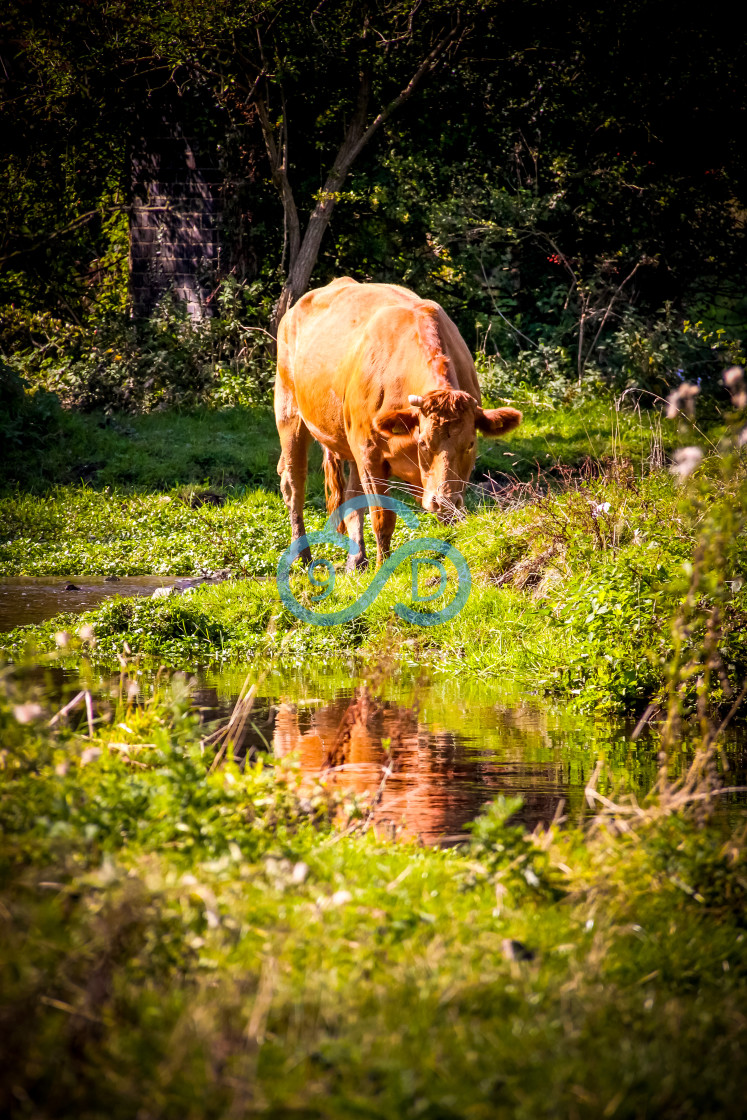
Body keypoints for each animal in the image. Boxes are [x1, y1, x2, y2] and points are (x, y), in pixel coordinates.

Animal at [273, 275, 519, 564]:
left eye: (470, 444)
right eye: (423, 443)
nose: (443, 499)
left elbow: (449, 519)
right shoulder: (370, 453)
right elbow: (383, 517)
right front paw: (384, 566)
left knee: (350, 494)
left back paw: (356, 560)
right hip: (289, 413)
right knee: (294, 485)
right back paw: (304, 556)